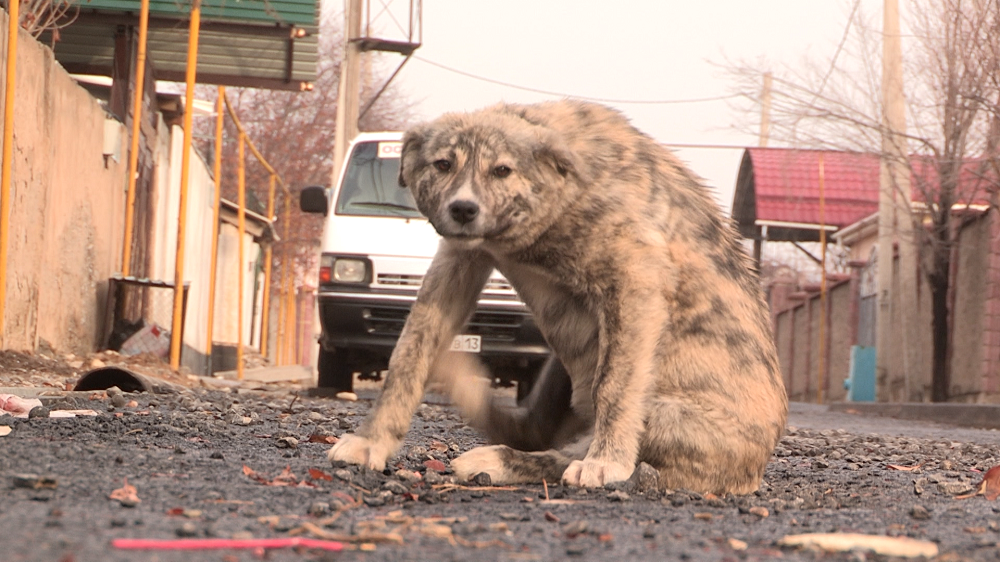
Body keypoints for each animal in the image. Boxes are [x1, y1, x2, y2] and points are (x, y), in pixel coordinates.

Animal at [328, 98, 788, 492]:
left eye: (502, 171)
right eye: (443, 164)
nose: (463, 209)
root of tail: (754, 471)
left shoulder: (636, 276)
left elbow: (615, 384)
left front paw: (607, 462)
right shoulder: (458, 261)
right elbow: (409, 353)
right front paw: (372, 442)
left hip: (662, 413)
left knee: (568, 449)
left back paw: (504, 460)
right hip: (558, 370)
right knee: (531, 427)